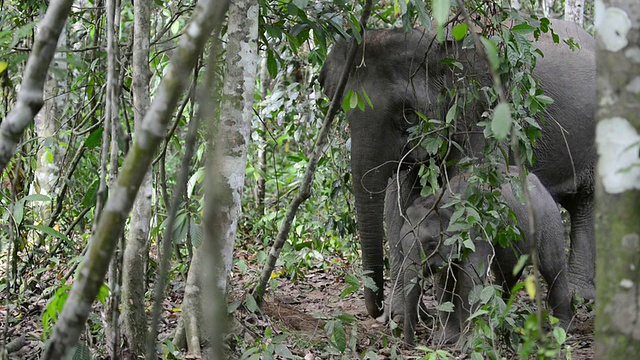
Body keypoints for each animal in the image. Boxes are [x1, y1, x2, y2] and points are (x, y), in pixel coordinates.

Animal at [318, 19, 596, 320]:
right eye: (342, 110)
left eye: (408, 114)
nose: (376, 309)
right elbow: (397, 201)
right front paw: (401, 317)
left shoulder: (485, 110)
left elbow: (472, 177)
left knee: (589, 201)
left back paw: (582, 297)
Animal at [402, 169, 572, 346]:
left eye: (431, 245)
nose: (411, 345)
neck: (445, 200)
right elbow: (445, 281)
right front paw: (445, 340)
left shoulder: (477, 232)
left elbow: (470, 280)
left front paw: (467, 343)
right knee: (508, 274)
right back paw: (500, 322)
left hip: (550, 224)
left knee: (553, 269)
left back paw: (561, 328)